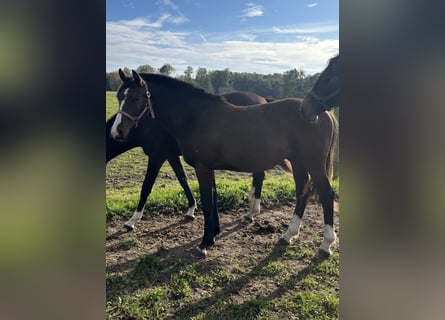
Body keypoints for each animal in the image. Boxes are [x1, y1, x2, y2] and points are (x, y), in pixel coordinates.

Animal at [107, 89, 288, 230]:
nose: (117, 132)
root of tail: (263, 100)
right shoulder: (171, 155)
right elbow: (182, 179)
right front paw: (191, 210)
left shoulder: (158, 154)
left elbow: (146, 186)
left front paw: (132, 220)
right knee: (258, 174)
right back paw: (251, 203)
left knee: (259, 175)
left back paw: (252, 211)